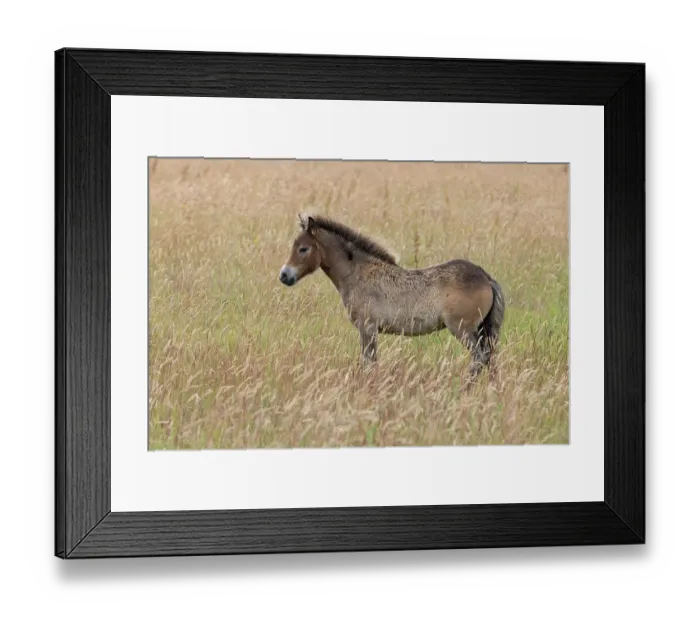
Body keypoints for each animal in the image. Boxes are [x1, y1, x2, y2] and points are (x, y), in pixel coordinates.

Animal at [279, 214, 505, 380]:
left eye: (303, 249)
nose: (284, 275)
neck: (357, 273)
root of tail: (485, 278)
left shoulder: (367, 328)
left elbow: (369, 364)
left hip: (463, 329)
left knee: (480, 357)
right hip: (483, 329)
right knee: (490, 358)